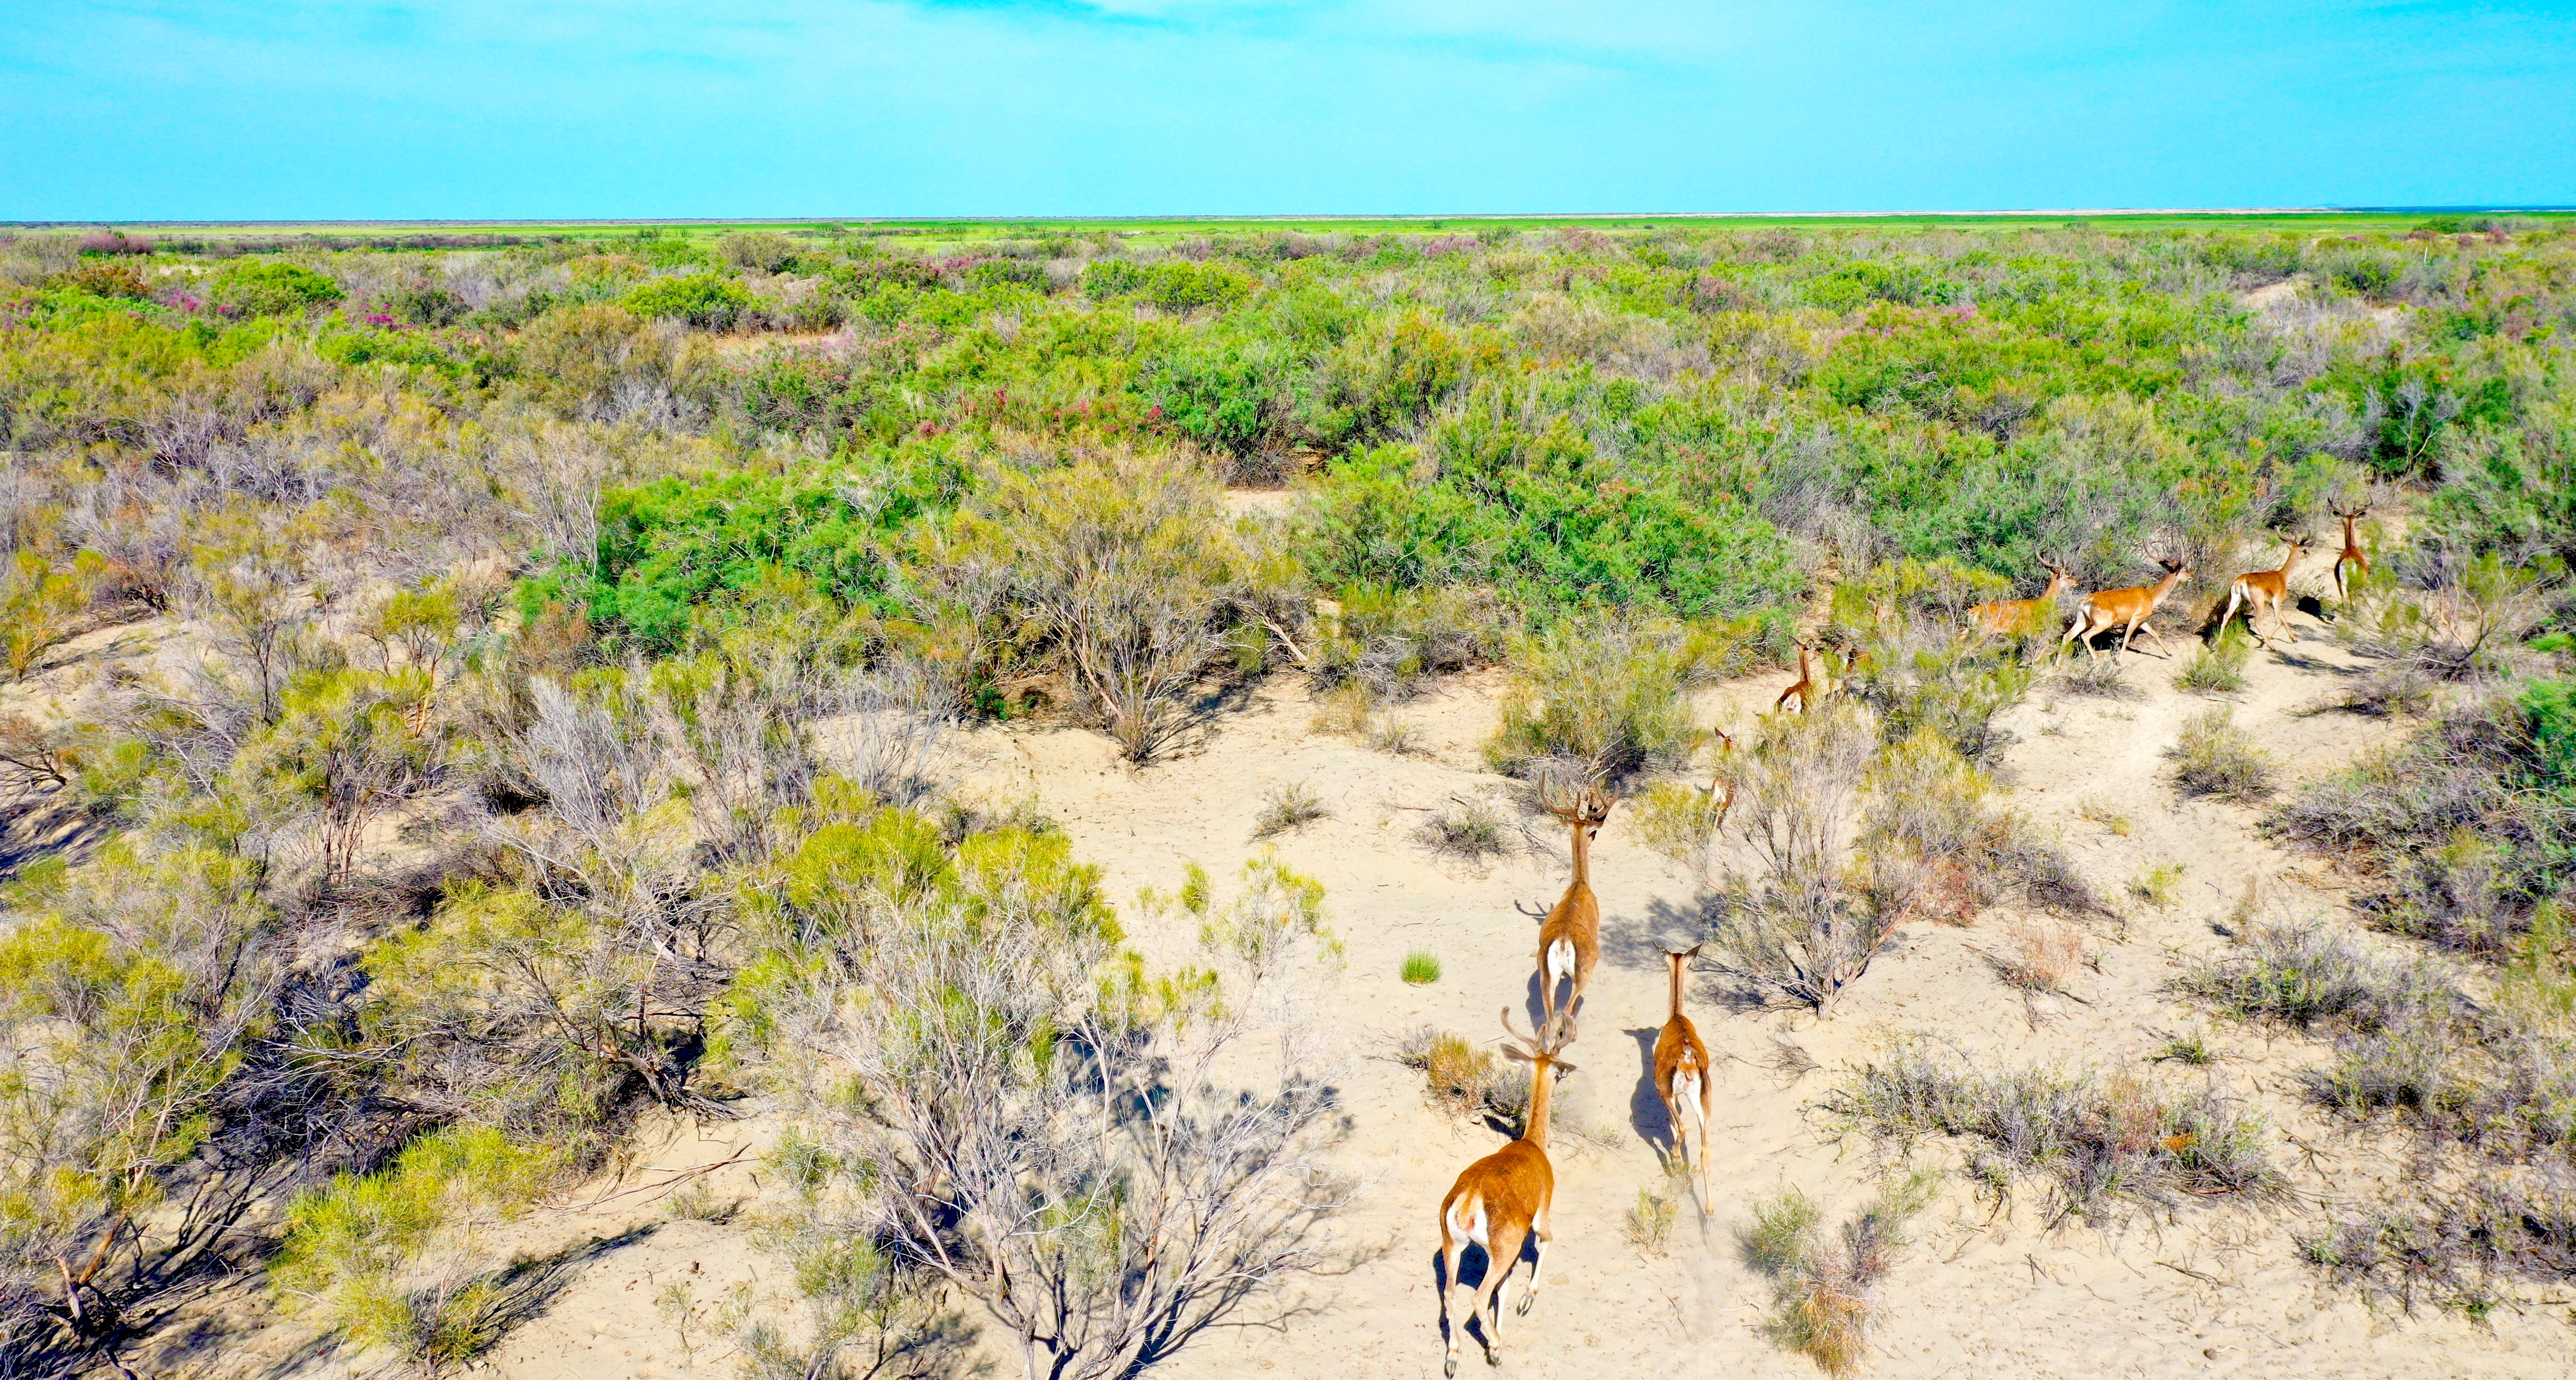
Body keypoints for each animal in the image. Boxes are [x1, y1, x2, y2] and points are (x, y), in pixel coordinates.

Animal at [1438, 1010, 1577, 1377]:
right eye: (1558, 1069)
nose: (1565, 1074)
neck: (1533, 1144)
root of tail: (1468, 1200)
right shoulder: (1541, 1213)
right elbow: (1547, 1242)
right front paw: (1527, 1300)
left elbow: (1503, 1289)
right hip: (1503, 1247)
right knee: (1477, 1297)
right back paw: (1498, 1348)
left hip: (1453, 1243)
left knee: (1450, 1294)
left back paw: (1454, 1357)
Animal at [1530, 774, 1614, 1028]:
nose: (1594, 837)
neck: (1580, 885)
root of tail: (1563, 942)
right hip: (1585, 969)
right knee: (1567, 1011)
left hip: (1546, 972)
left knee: (1548, 1017)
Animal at [1965, 555, 2073, 638]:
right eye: (2068, 577)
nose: (2076, 581)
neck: (2039, 604)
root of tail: (1972, 612)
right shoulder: (2028, 632)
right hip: (1983, 631)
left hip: (1970, 630)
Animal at [2058, 552, 2193, 660]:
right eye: (2184, 569)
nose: (2192, 576)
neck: (2151, 596)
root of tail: (2087, 601)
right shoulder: (2134, 620)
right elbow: (2127, 639)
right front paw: (2120, 662)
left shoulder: (2142, 621)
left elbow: (2154, 634)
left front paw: (2169, 654)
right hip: (2102, 625)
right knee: (2085, 636)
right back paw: (2097, 660)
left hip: (2082, 622)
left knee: (2067, 636)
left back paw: (2058, 664)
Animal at [2218, 532, 2309, 647]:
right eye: (2304, 550)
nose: (2308, 554)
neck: (2282, 576)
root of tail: (2243, 579)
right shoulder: (2277, 602)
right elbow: (2280, 622)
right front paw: (2267, 640)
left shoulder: (2272, 604)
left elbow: (2284, 619)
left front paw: (2294, 639)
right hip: (2259, 604)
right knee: (2259, 623)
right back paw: (2271, 646)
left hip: (2236, 599)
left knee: (2226, 616)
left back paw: (2216, 644)